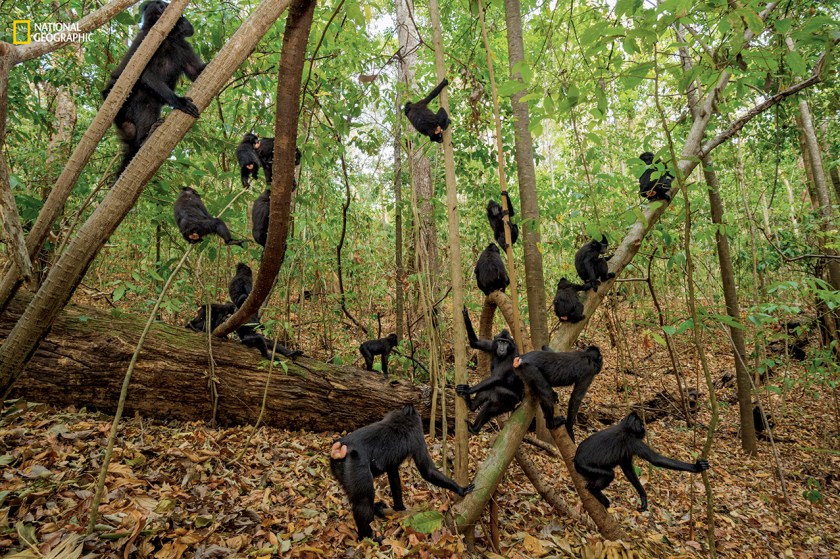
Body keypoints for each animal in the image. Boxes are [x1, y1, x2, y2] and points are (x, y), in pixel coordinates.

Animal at [102, 1, 206, 176]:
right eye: (159, 5)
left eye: (164, 5)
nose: (162, 7)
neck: (167, 39)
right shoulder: (147, 42)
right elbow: (146, 75)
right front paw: (179, 102)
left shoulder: (182, 45)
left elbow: (197, 72)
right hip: (123, 112)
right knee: (144, 96)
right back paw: (143, 139)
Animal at [328, 406, 472, 544]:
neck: (403, 417)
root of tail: (340, 449)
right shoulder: (416, 434)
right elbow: (427, 470)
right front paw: (460, 489)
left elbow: (393, 475)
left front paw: (399, 508)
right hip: (356, 466)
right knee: (364, 501)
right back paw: (368, 537)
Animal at [456, 308, 520, 436]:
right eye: (500, 341)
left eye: (506, 342)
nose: (501, 348)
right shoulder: (492, 344)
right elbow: (475, 343)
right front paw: (466, 316)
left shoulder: (511, 357)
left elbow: (497, 377)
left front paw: (468, 389)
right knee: (487, 390)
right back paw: (471, 406)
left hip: (512, 399)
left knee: (495, 394)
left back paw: (474, 428)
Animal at [572, 412, 708, 512]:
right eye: (641, 425)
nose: (644, 429)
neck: (625, 427)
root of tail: (576, 458)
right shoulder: (633, 441)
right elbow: (656, 460)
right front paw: (696, 467)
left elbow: (628, 470)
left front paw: (643, 496)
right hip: (585, 467)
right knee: (609, 474)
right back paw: (595, 491)